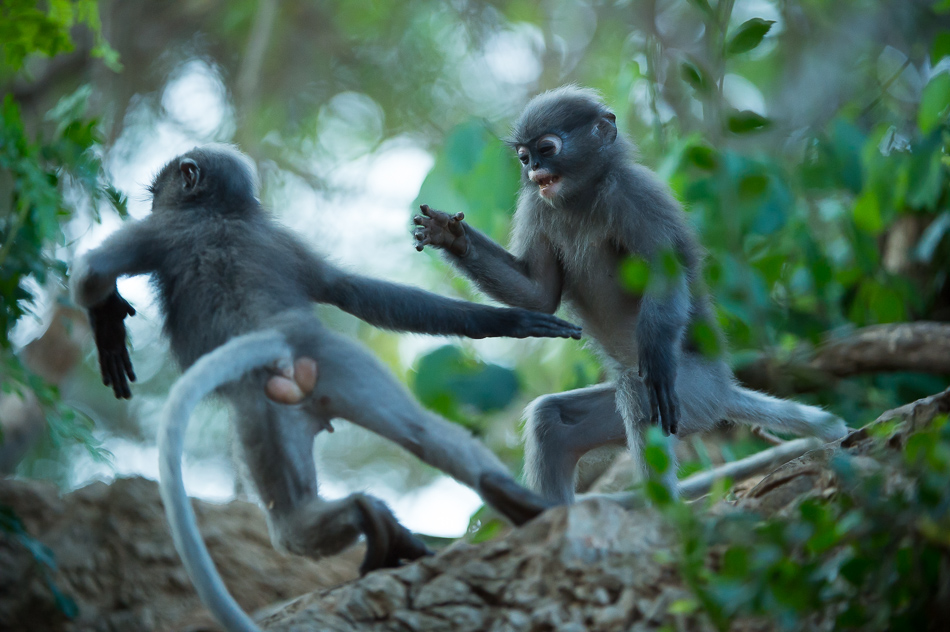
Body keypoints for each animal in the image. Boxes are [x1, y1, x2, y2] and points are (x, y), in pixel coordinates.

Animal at [70, 144, 580, 632]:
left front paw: (105, 317)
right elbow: (351, 289)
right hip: (336, 368)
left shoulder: (161, 230)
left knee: (288, 525)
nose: (155, 200)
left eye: (158, 193)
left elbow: (92, 270)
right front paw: (512, 321)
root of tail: (275, 337)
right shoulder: (288, 244)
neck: (221, 214)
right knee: (417, 434)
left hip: (258, 408)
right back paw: (489, 503)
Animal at [416, 87, 848, 504]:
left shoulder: (637, 194)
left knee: (641, 392)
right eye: (524, 157)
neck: (582, 197)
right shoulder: (537, 205)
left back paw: (666, 509)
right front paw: (450, 237)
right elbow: (538, 295)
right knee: (550, 419)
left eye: (547, 149)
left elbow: (665, 276)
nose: (533, 169)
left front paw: (655, 357)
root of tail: (722, 388)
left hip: (690, 390)